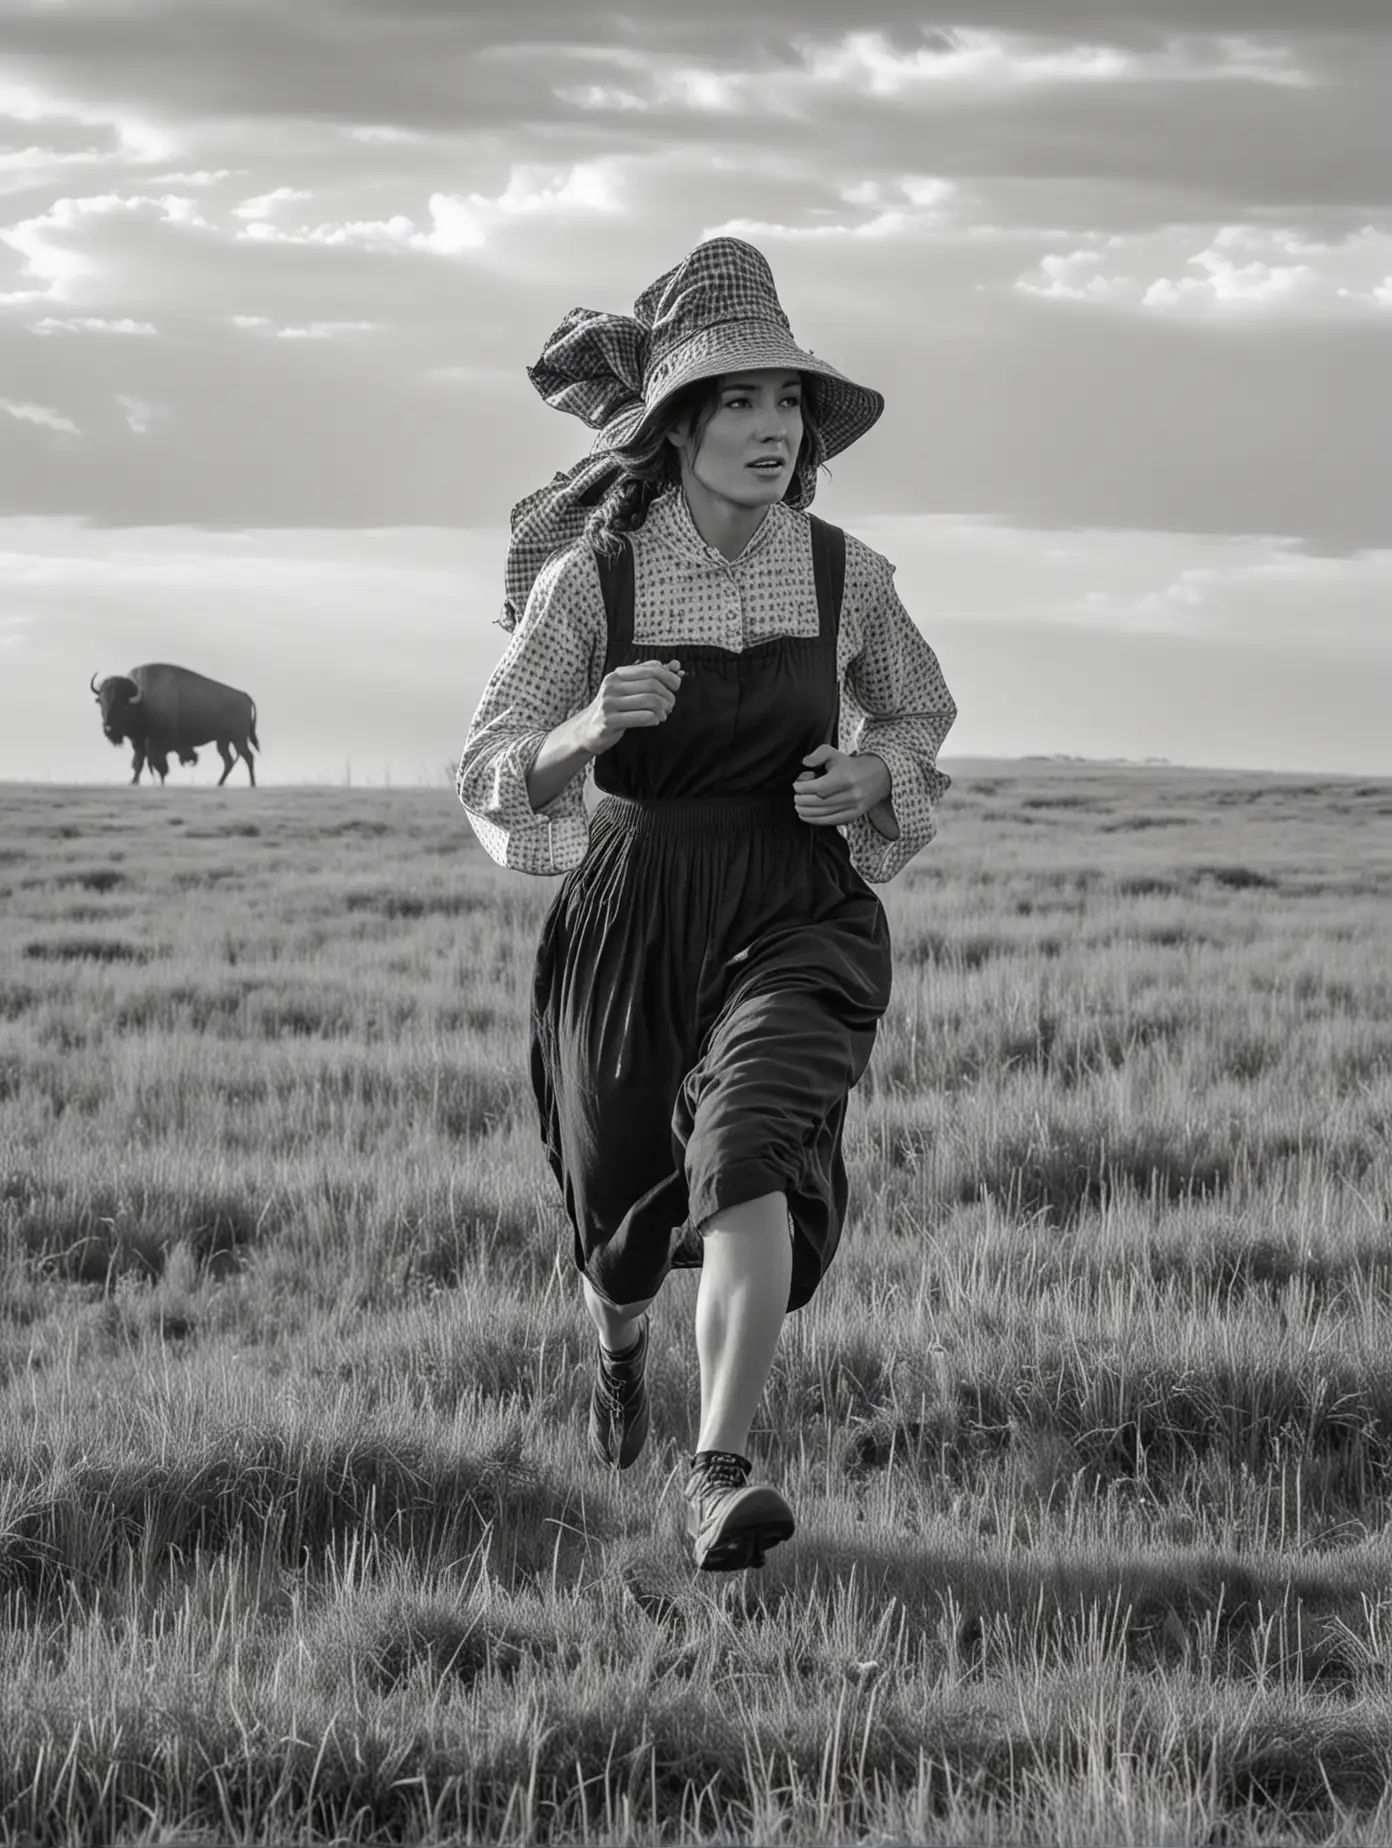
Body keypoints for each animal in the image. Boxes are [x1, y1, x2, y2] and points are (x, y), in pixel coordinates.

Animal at [89, 665, 260, 787]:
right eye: (101, 702)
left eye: (124, 706)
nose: (108, 728)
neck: (143, 701)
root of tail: (244, 696)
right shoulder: (139, 742)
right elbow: (139, 762)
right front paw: (134, 782)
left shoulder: (158, 745)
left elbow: (158, 765)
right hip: (223, 741)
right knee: (228, 760)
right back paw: (220, 783)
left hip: (238, 739)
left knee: (248, 757)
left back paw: (252, 784)